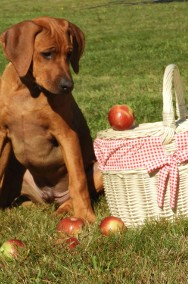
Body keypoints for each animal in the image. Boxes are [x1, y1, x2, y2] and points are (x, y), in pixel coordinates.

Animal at [0, 16, 103, 223]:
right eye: (47, 54)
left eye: (69, 54)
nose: (68, 86)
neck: (28, 90)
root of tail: (51, 197)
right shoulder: (1, 132)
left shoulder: (67, 134)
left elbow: (78, 181)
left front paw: (85, 216)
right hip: (15, 170)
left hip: (99, 170)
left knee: (75, 193)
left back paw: (64, 211)